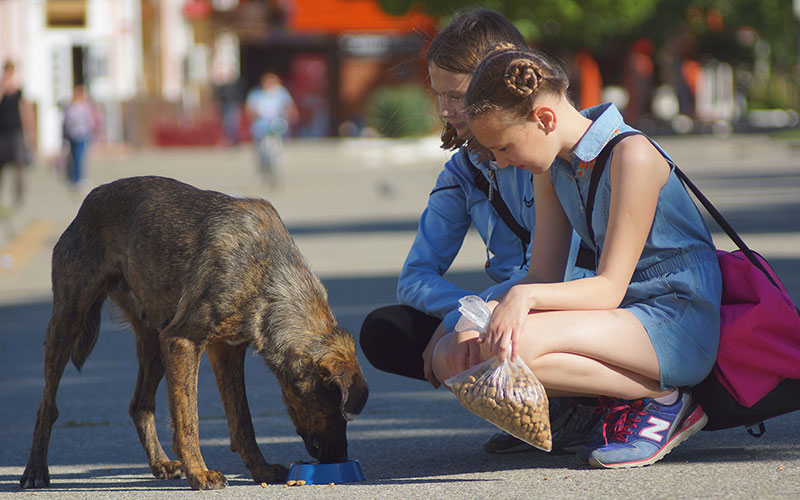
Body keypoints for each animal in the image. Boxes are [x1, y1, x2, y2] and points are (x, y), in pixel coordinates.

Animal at [18, 176, 368, 488]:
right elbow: (189, 418)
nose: (339, 458)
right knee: (47, 405)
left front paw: (261, 470)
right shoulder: (182, 341)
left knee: (140, 404)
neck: (267, 272)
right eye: (335, 408)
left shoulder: (226, 350)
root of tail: (89, 201)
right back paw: (35, 470)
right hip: (69, 318)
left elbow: (242, 421)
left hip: (153, 339)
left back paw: (159, 463)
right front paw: (199, 473)